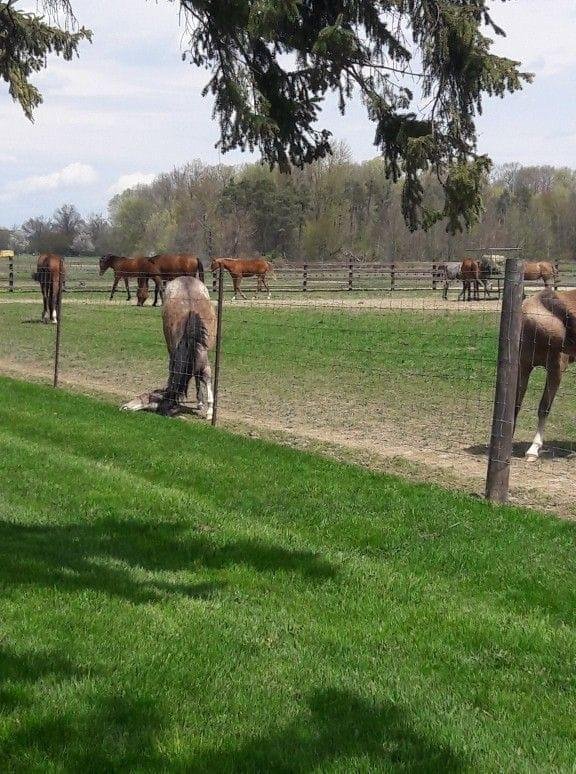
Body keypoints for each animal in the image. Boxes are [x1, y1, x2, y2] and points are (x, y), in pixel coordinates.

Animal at [121, 276, 216, 419]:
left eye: (146, 397)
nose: (125, 406)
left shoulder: (183, 352)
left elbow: (202, 375)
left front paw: (208, 410)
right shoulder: (201, 352)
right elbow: (202, 374)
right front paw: (205, 407)